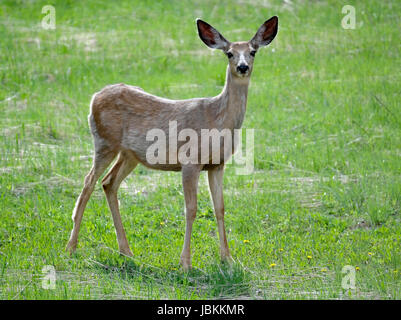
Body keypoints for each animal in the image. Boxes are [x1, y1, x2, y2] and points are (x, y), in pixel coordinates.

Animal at [65, 15, 278, 270]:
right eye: (229, 53)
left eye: (253, 51)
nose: (242, 67)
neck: (218, 120)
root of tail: (94, 97)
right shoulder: (190, 160)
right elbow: (191, 209)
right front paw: (185, 262)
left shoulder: (217, 164)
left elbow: (220, 208)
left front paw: (227, 258)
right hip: (104, 141)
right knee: (88, 182)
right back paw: (71, 247)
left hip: (129, 155)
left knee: (108, 183)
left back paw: (126, 251)